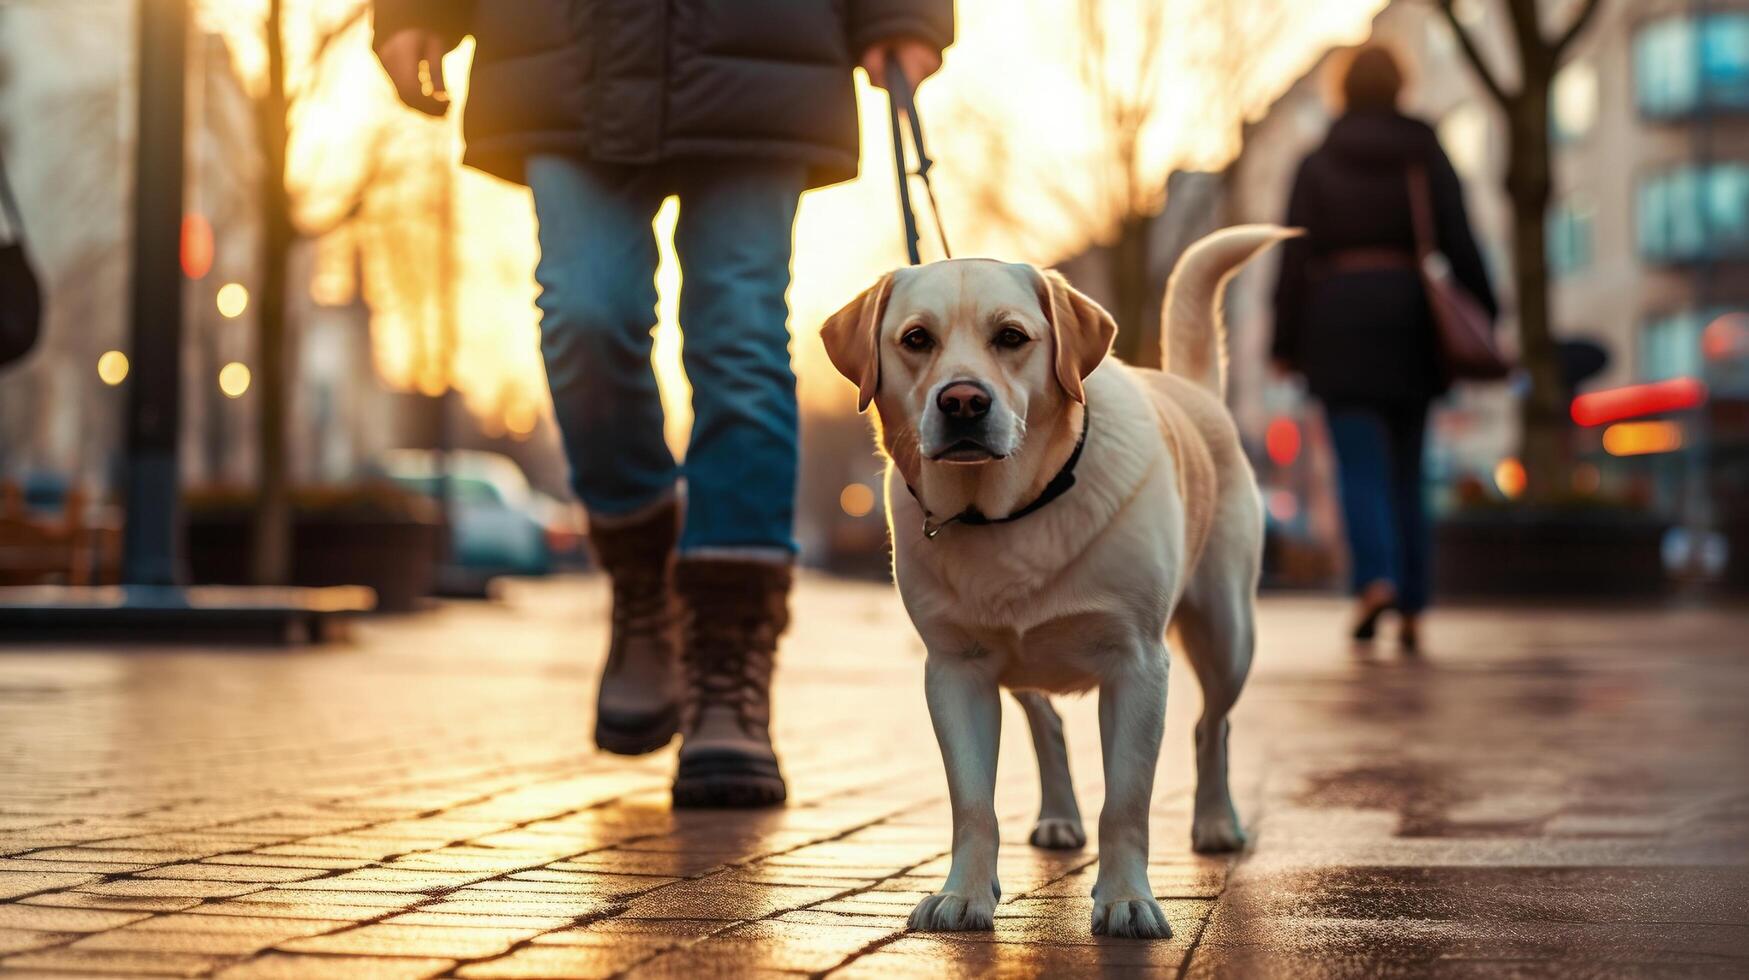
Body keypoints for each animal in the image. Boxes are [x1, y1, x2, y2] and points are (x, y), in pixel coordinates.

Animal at [822, 225, 1301, 938]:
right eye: (916, 339)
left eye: (1011, 337)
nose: (963, 401)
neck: (1013, 510)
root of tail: (1194, 390)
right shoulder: (954, 671)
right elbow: (973, 802)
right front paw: (964, 893)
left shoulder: (1137, 666)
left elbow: (1126, 803)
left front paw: (1127, 899)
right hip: (1019, 665)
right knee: (1046, 724)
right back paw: (1057, 818)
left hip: (1226, 633)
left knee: (1211, 725)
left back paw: (1216, 823)